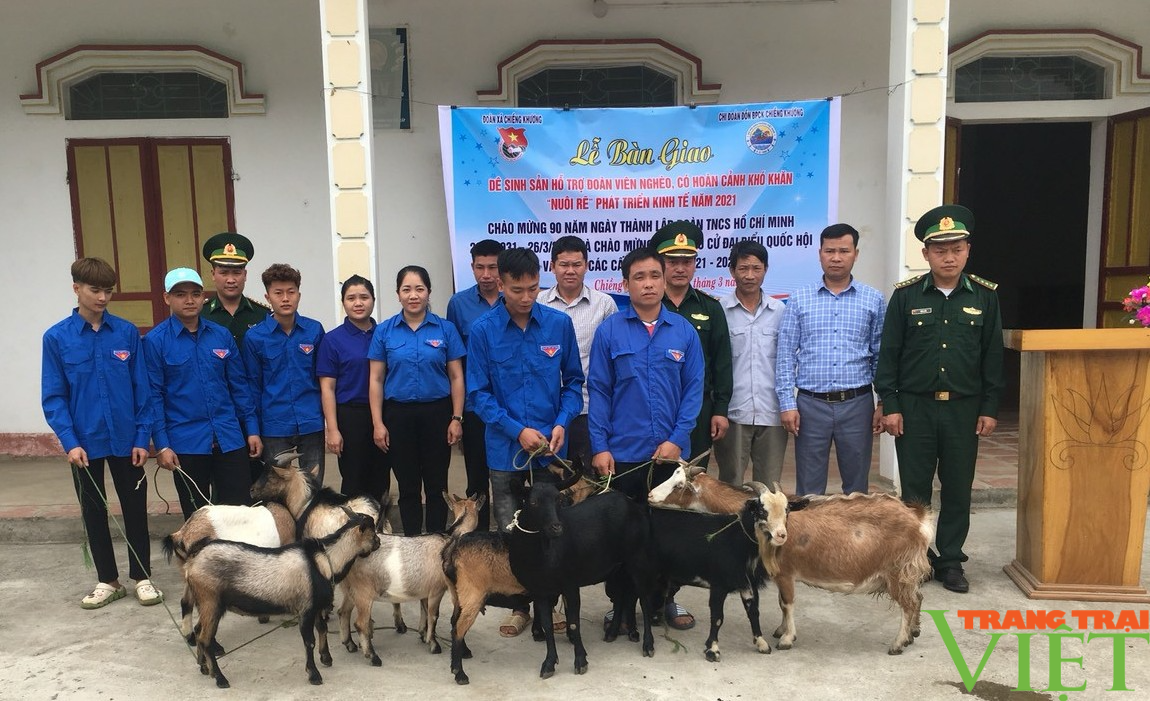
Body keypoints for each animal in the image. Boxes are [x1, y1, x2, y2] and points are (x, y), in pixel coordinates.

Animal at [177, 510, 379, 684]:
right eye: (373, 532)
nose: (378, 542)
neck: (324, 560)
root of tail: (192, 562)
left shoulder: (315, 607)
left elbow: (322, 628)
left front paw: (326, 658)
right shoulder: (305, 609)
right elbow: (309, 642)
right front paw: (314, 674)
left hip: (205, 603)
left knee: (198, 631)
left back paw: (204, 668)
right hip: (210, 602)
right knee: (204, 639)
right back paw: (220, 678)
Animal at [754, 489, 933, 652]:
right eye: (762, 512)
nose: (779, 535)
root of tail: (919, 519)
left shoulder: (785, 573)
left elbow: (787, 604)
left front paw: (786, 639)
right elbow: (781, 602)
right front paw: (780, 630)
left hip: (898, 571)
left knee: (910, 604)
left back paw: (898, 644)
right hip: (906, 574)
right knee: (918, 597)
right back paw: (912, 633)